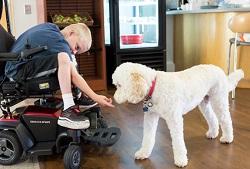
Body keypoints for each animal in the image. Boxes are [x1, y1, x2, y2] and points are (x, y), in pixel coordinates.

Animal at [112, 62, 244, 168]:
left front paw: (181, 160)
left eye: (119, 85)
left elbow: (178, 142)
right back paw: (213, 133)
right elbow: (148, 137)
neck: (155, 87)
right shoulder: (151, 116)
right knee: (212, 118)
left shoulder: (174, 119)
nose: (114, 99)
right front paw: (143, 153)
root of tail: (219, 69)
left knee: (226, 120)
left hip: (218, 99)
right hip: (204, 103)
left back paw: (227, 138)